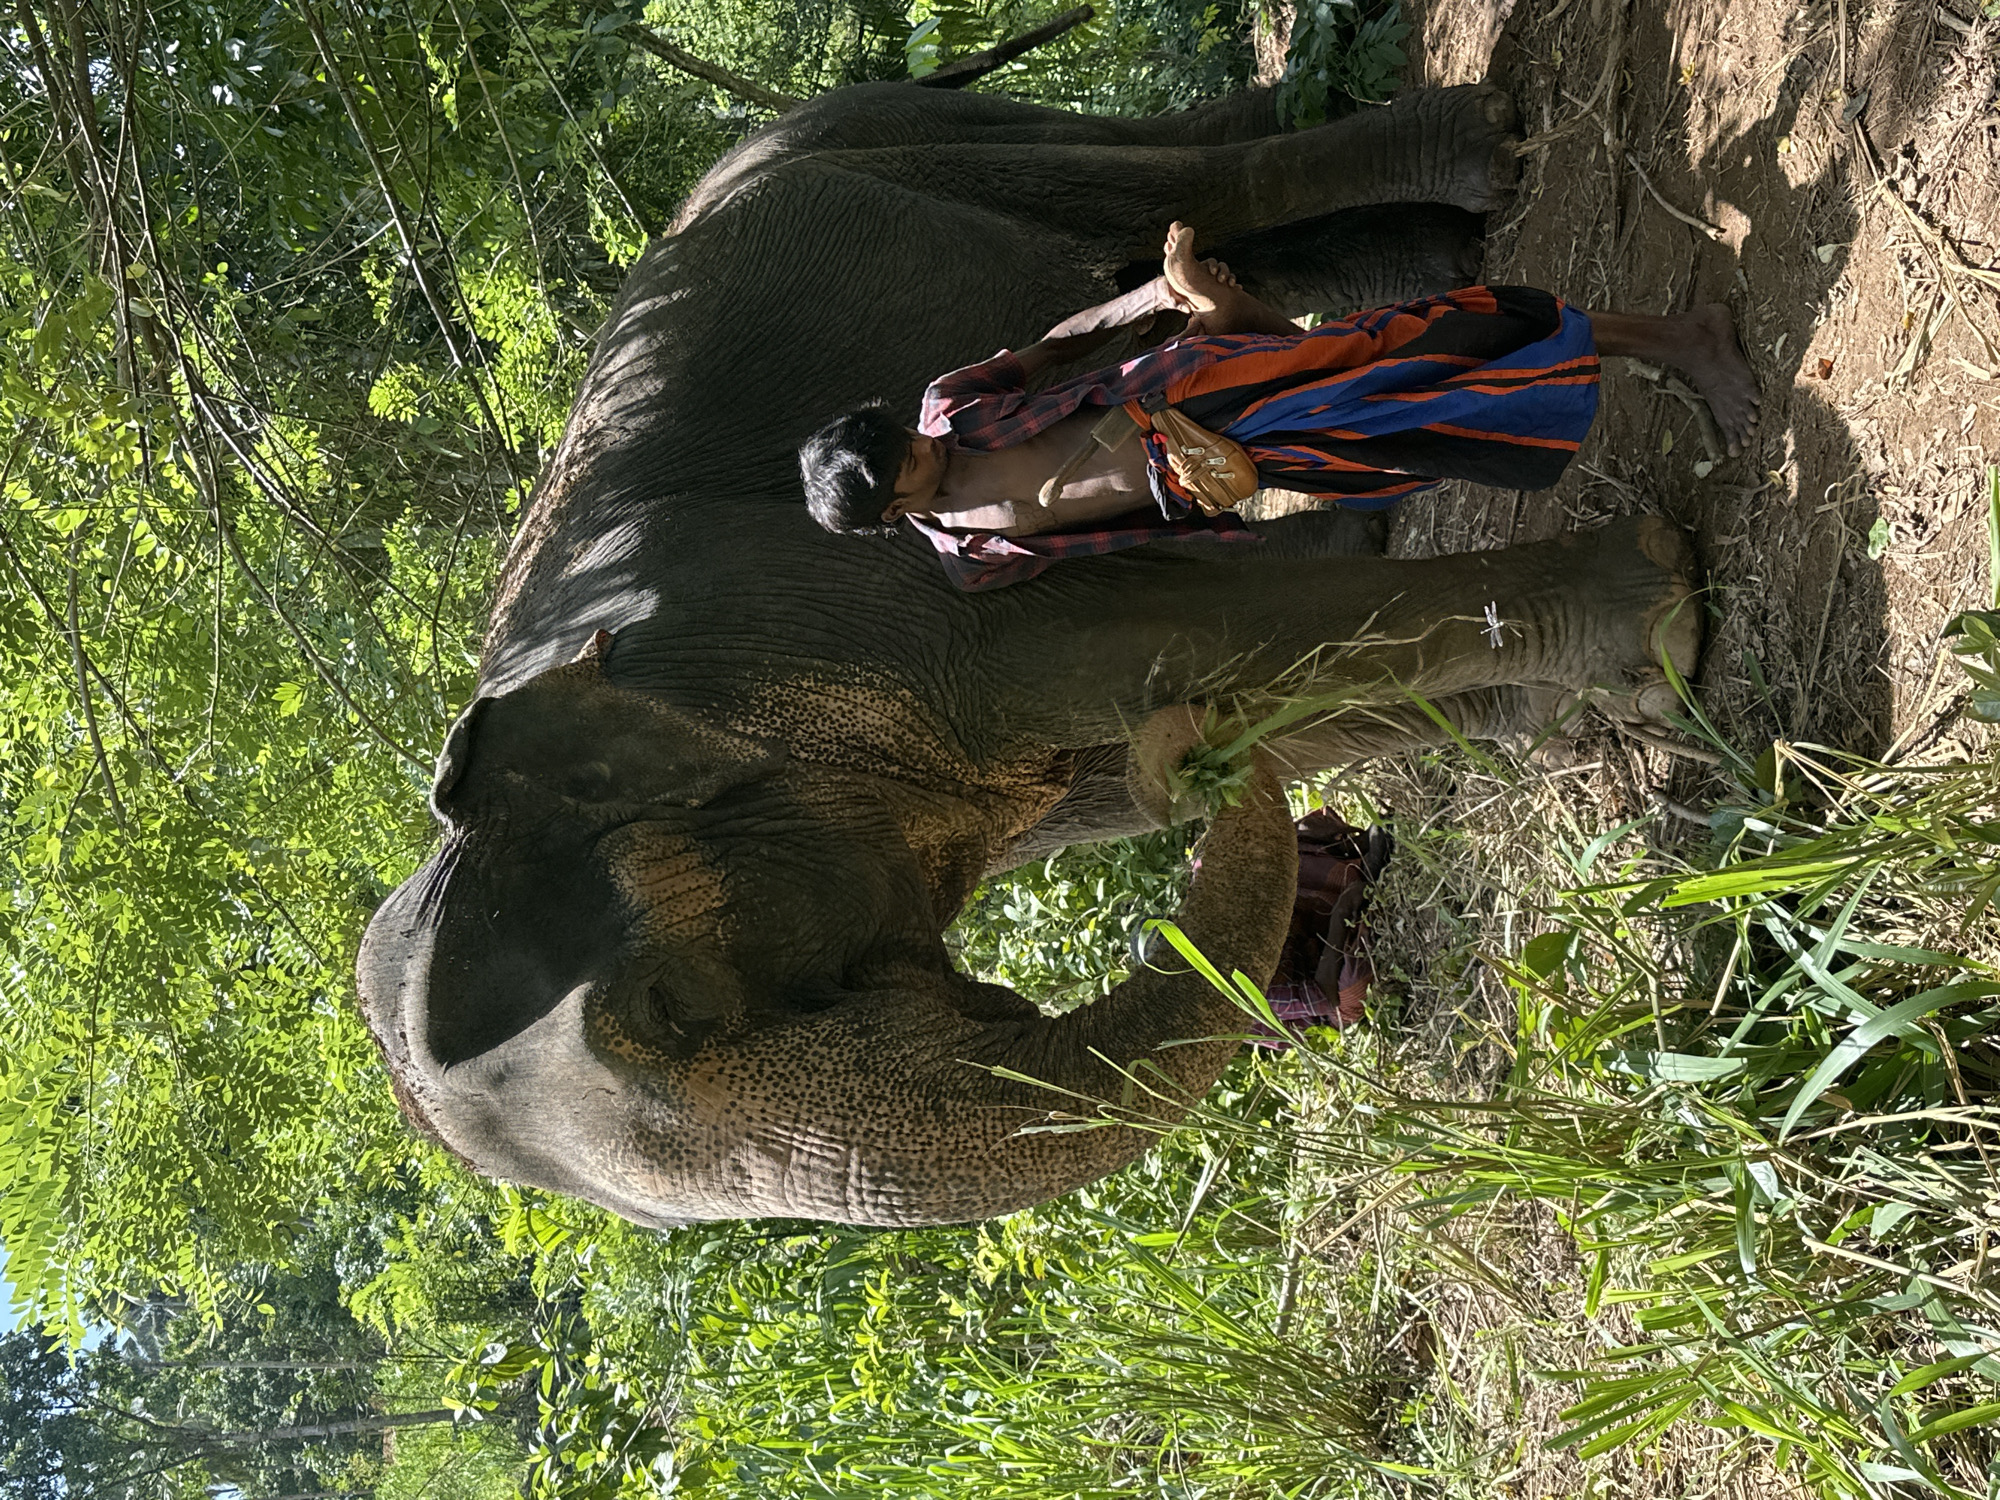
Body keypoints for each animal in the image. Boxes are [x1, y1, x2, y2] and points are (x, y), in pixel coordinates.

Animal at [356, 76, 1701, 1229]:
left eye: (668, 1007)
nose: (1196, 776)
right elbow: (1137, 718)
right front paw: (1572, 711)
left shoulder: (824, 609)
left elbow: (1156, 637)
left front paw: (1658, 618)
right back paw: (1424, 257)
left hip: (883, 137)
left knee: (1138, 183)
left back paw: (1469, 162)